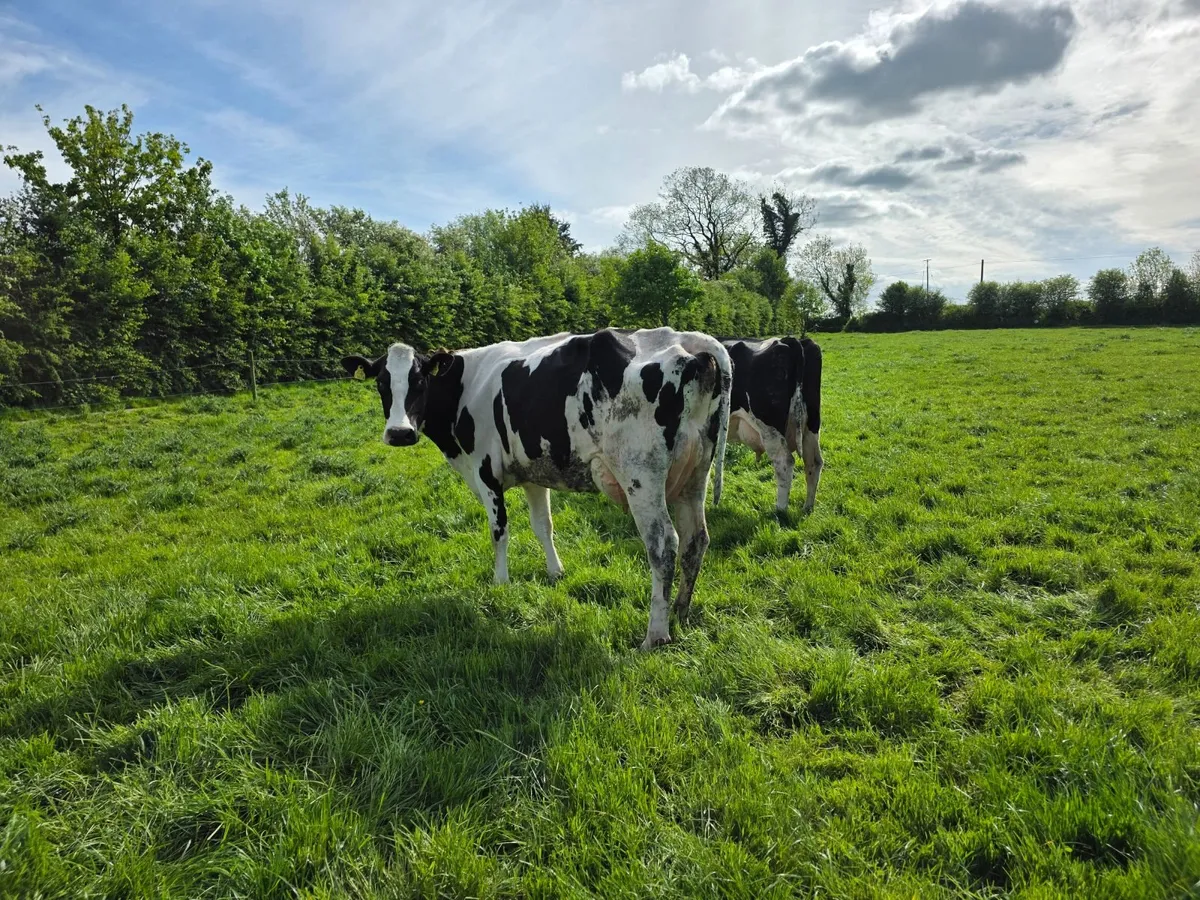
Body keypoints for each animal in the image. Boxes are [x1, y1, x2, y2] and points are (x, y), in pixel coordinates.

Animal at [342, 327, 732, 650]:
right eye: (381, 384)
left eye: (420, 381)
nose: (399, 433)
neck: (466, 385)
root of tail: (685, 339)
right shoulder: (533, 472)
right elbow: (543, 525)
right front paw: (556, 572)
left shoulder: (485, 470)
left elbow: (499, 529)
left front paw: (500, 582)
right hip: (695, 474)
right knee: (696, 540)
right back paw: (681, 613)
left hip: (641, 475)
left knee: (664, 546)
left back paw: (655, 636)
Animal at [719, 336, 824, 514]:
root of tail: (790, 340)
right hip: (811, 426)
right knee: (814, 462)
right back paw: (807, 507)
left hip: (769, 428)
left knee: (784, 462)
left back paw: (780, 510)